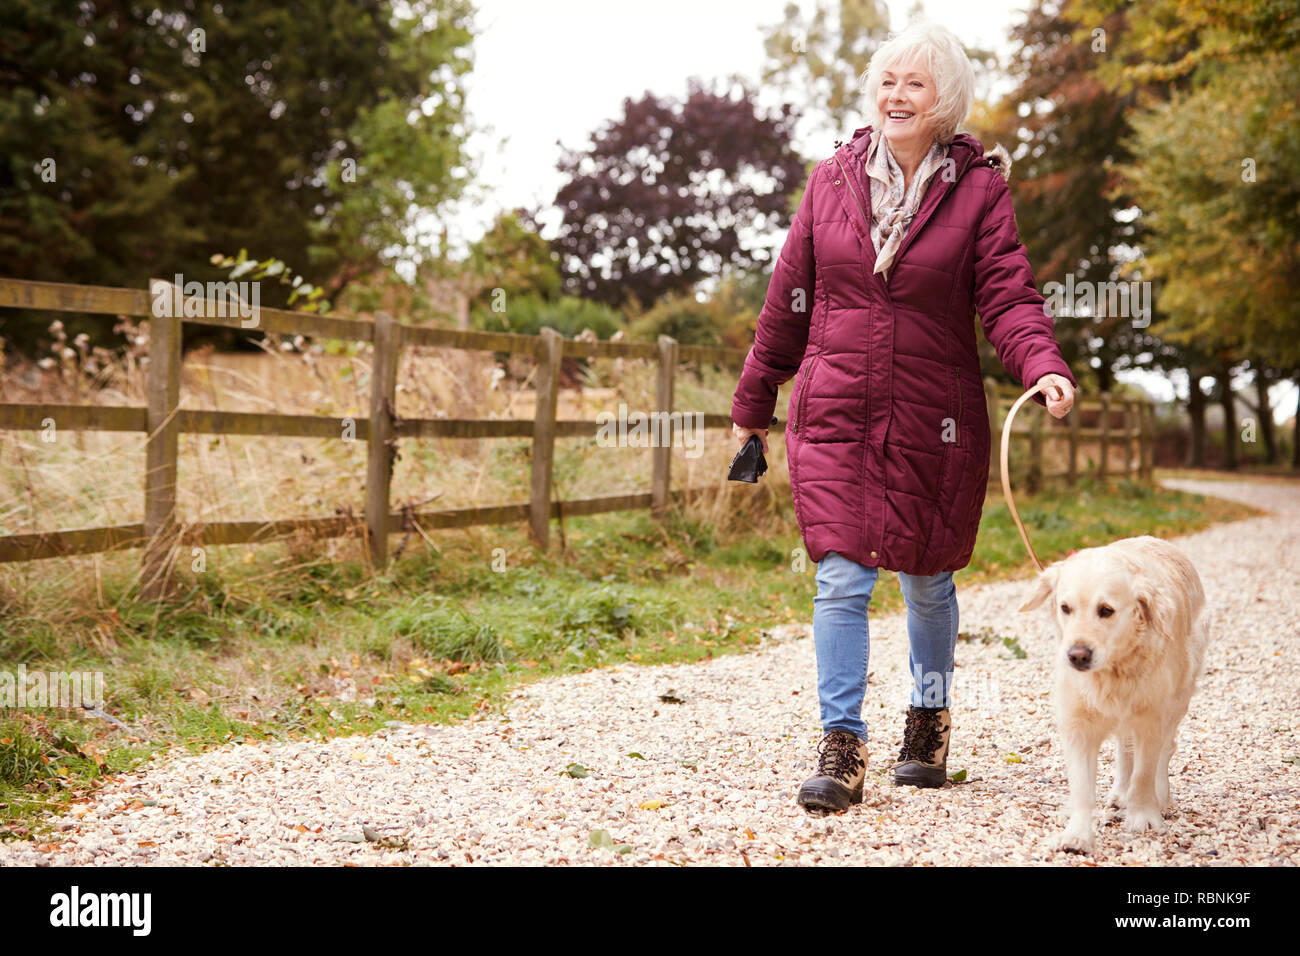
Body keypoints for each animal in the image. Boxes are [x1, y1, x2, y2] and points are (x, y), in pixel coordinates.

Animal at [1013, 535, 1206, 858]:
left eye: (1106, 610)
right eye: (1065, 608)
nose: (1077, 655)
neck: (1112, 672)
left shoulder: (1151, 718)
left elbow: (1145, 770)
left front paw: (1143, 815)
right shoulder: (1078, 725)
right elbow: (1083, 786)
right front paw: (1077, 834)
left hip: (1179, 699)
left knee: (1165, 751)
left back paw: (1161, 797)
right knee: (1124, 751)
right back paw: (1119, 793)